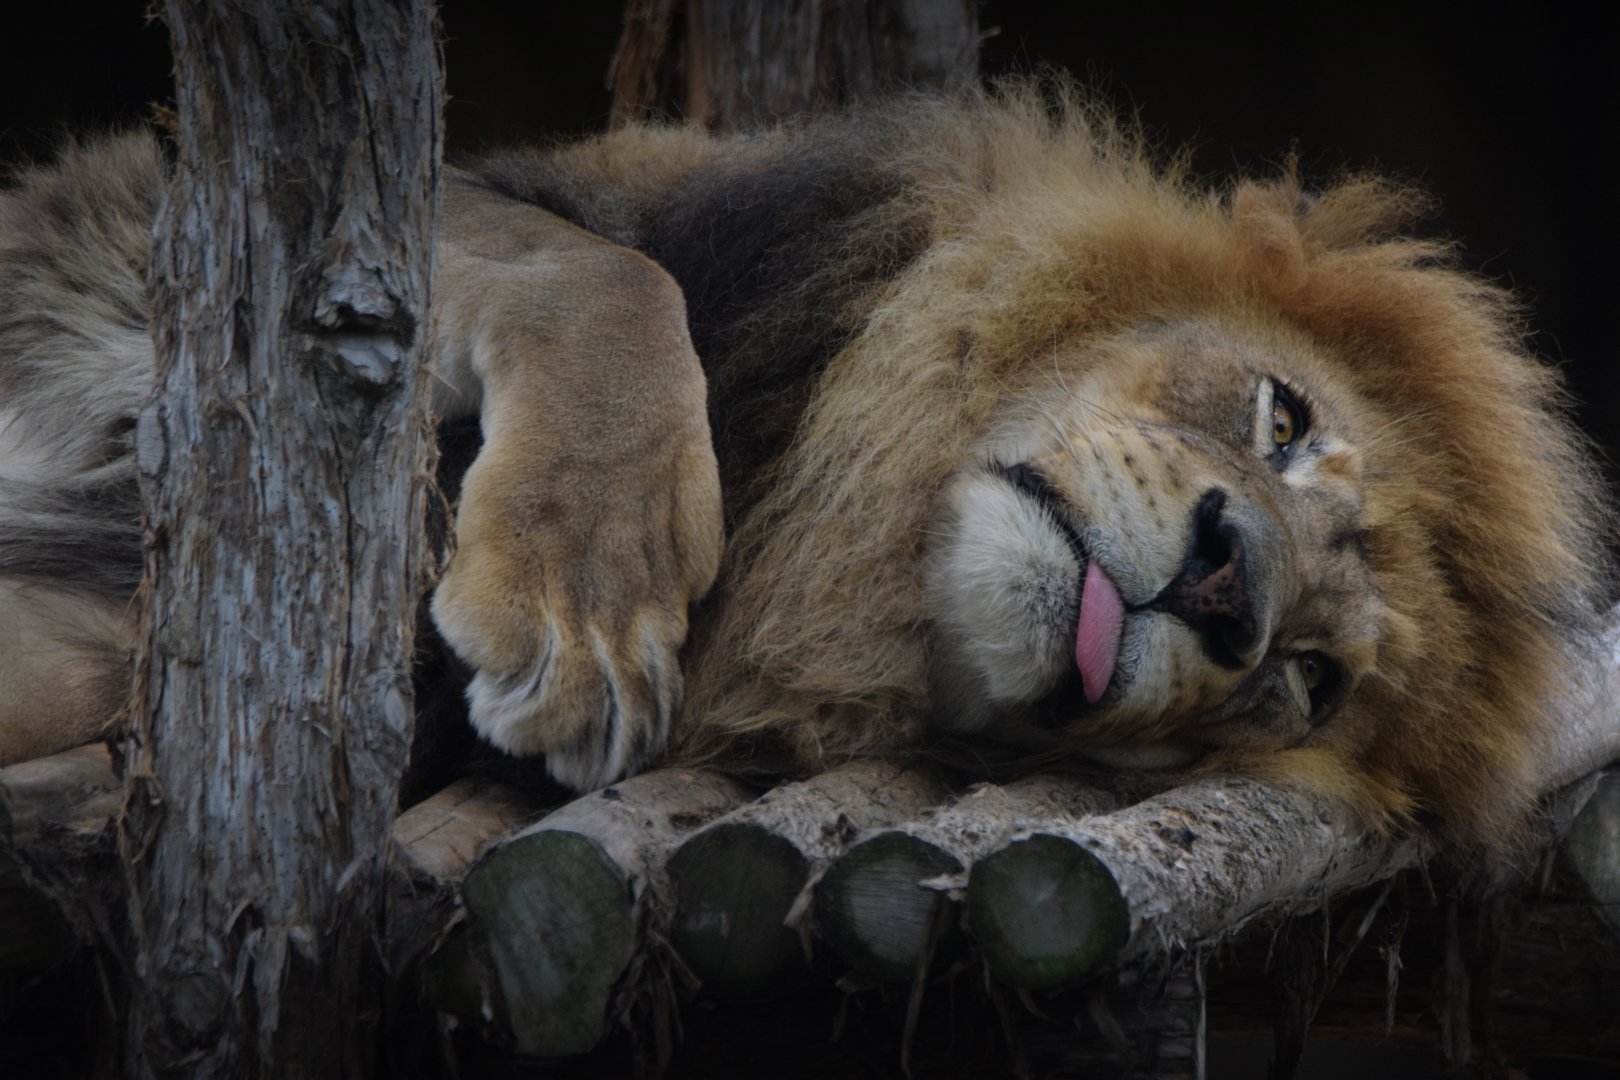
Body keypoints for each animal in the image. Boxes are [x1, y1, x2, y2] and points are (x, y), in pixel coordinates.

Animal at [0, 85, 1608, 849]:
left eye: (1308, 683)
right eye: (1284, 422)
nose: (1227, 592)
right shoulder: (257, 205)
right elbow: (610, 276)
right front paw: (586, 613)